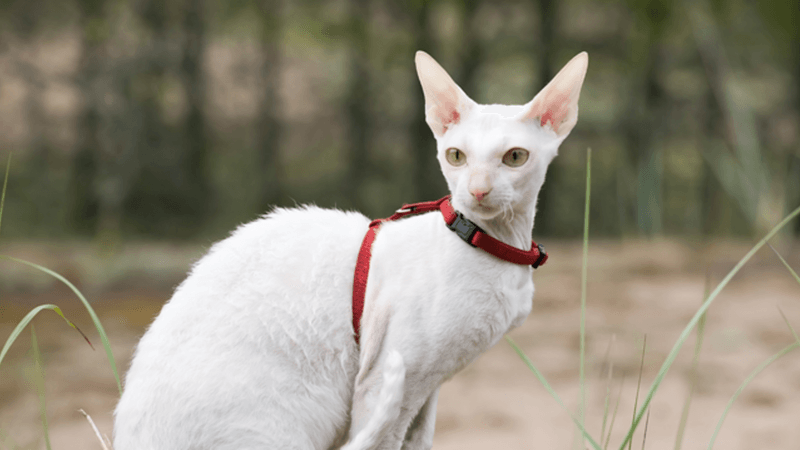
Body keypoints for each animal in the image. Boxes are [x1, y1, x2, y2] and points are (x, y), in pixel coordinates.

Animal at [112, 50, 588, 450]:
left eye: (514, 157)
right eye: (456, 156)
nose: (477, 191)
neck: (495, 244)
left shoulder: (429, 387)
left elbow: (419, 442)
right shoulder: (387, 380)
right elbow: (383, 439)